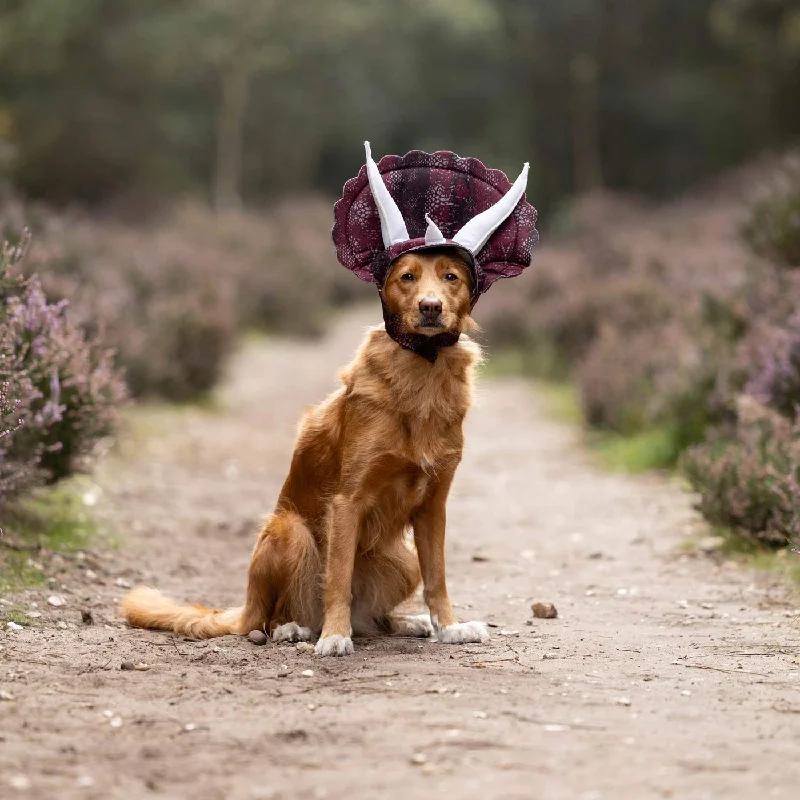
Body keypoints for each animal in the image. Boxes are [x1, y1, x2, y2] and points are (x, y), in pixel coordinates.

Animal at [122, 248, 490, 656]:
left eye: (451, 277)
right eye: (406, 277)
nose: (430, 307)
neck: (422, 370)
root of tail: (246, 607)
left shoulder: (432, 506)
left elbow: (437, 579)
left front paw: (451, 628)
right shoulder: (347, 502)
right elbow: (338, 579)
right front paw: (335, 636)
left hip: (404, 559)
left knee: (373, 619)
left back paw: (407, 622)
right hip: (290, 530)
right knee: (272, 618)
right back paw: (295, 628)